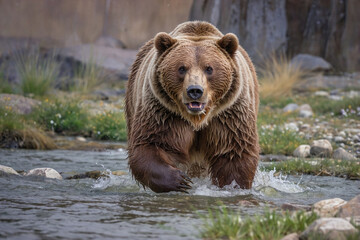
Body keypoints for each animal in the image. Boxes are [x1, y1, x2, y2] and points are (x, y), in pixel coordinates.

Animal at [124, 20, 258, 193]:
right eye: (181, 68)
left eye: (209, 68)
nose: (195, 90)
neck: (197, 118)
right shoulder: (164, 112)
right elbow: (151, 143)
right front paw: (180, 180)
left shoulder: (228, 114)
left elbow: (234, 151)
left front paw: (232, 186)